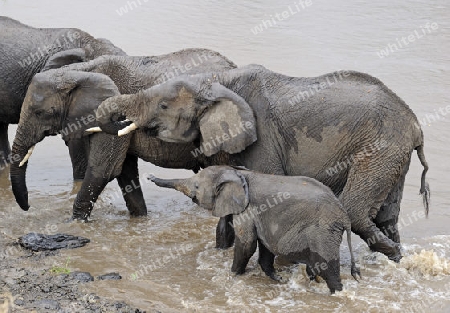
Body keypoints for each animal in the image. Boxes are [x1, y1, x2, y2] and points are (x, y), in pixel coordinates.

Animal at [9, 48, 236, 224]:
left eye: (40, 113)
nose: (28, 207)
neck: (78, 71)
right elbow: (125, 171)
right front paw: (140, 220)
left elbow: (103, 169)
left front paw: (73, 223)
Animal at [96, 64, 430, 260]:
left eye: (163, 106)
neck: (215, 82)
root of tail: (415, 124)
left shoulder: (264, 139)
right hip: (393, 154)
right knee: (388, 215)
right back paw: (396, 256)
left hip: (380, 146)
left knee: (356, 208)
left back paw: (392, 252)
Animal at [149, 166, 360, 292]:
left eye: (196, 186)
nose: (149, 176)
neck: (239, 173)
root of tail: (344, 216)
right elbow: (264, 244)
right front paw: (277, 278)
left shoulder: (248, 209)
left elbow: (247, 243)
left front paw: (232, 276)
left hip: (323, 231)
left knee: (326, 266)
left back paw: (336, 293)